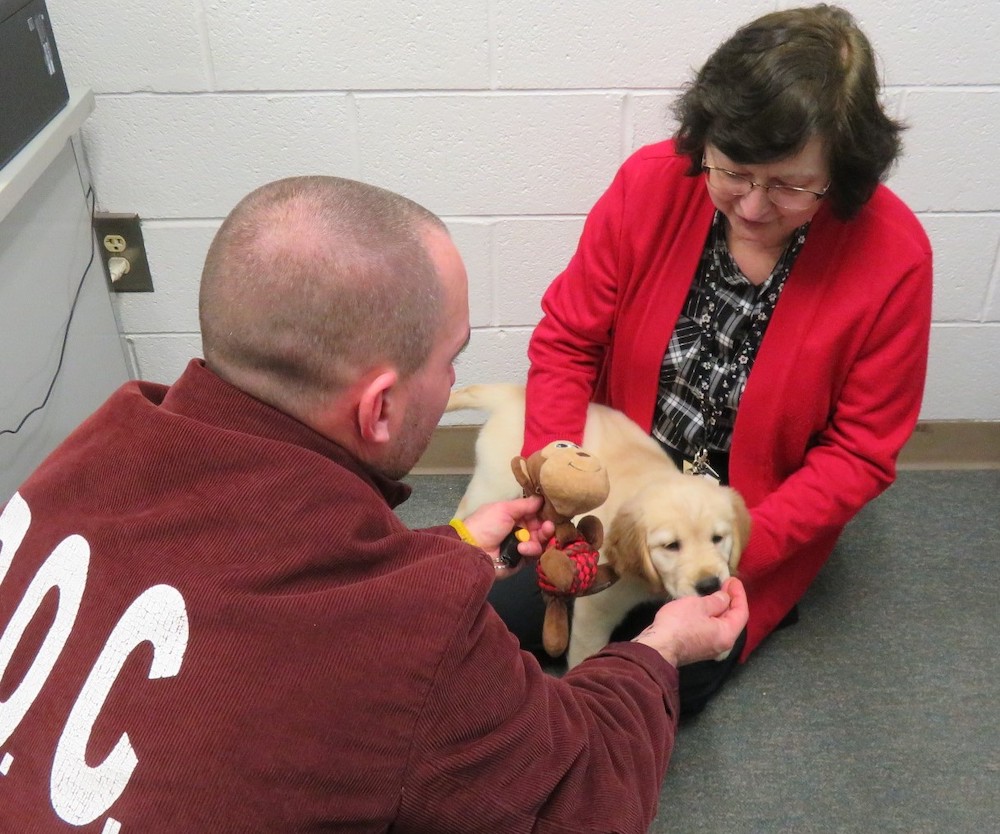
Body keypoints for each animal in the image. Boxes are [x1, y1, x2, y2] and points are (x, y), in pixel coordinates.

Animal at [448, 386, 752, 668]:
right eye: (671, 546)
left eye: (718, 538)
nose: (710, 585)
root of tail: (514, 392)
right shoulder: (596, 609)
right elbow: (586, 652)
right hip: (493, 486)